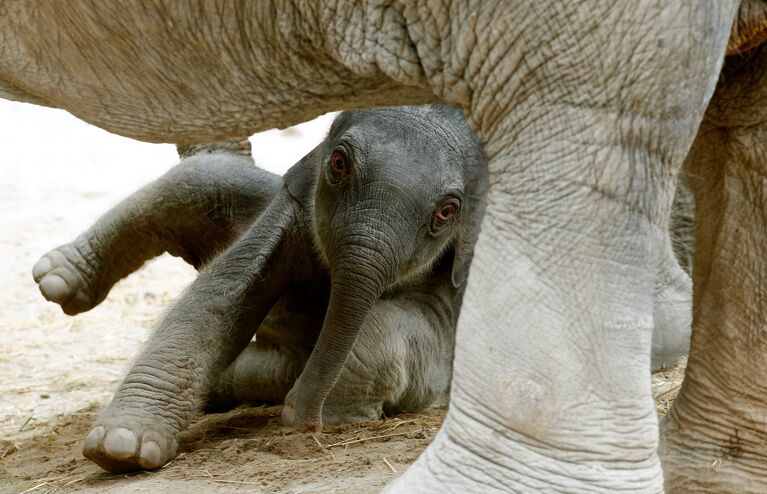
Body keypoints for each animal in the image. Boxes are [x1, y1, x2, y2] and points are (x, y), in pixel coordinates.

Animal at [33, 104, 488, 470]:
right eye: (339, 163)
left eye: (447, 213)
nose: (301, 423)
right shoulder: (293, 203)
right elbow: (221, 295)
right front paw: (120, 448)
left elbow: (400, 332)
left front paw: (339, 419)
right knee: (203, 176)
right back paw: (56, 279)